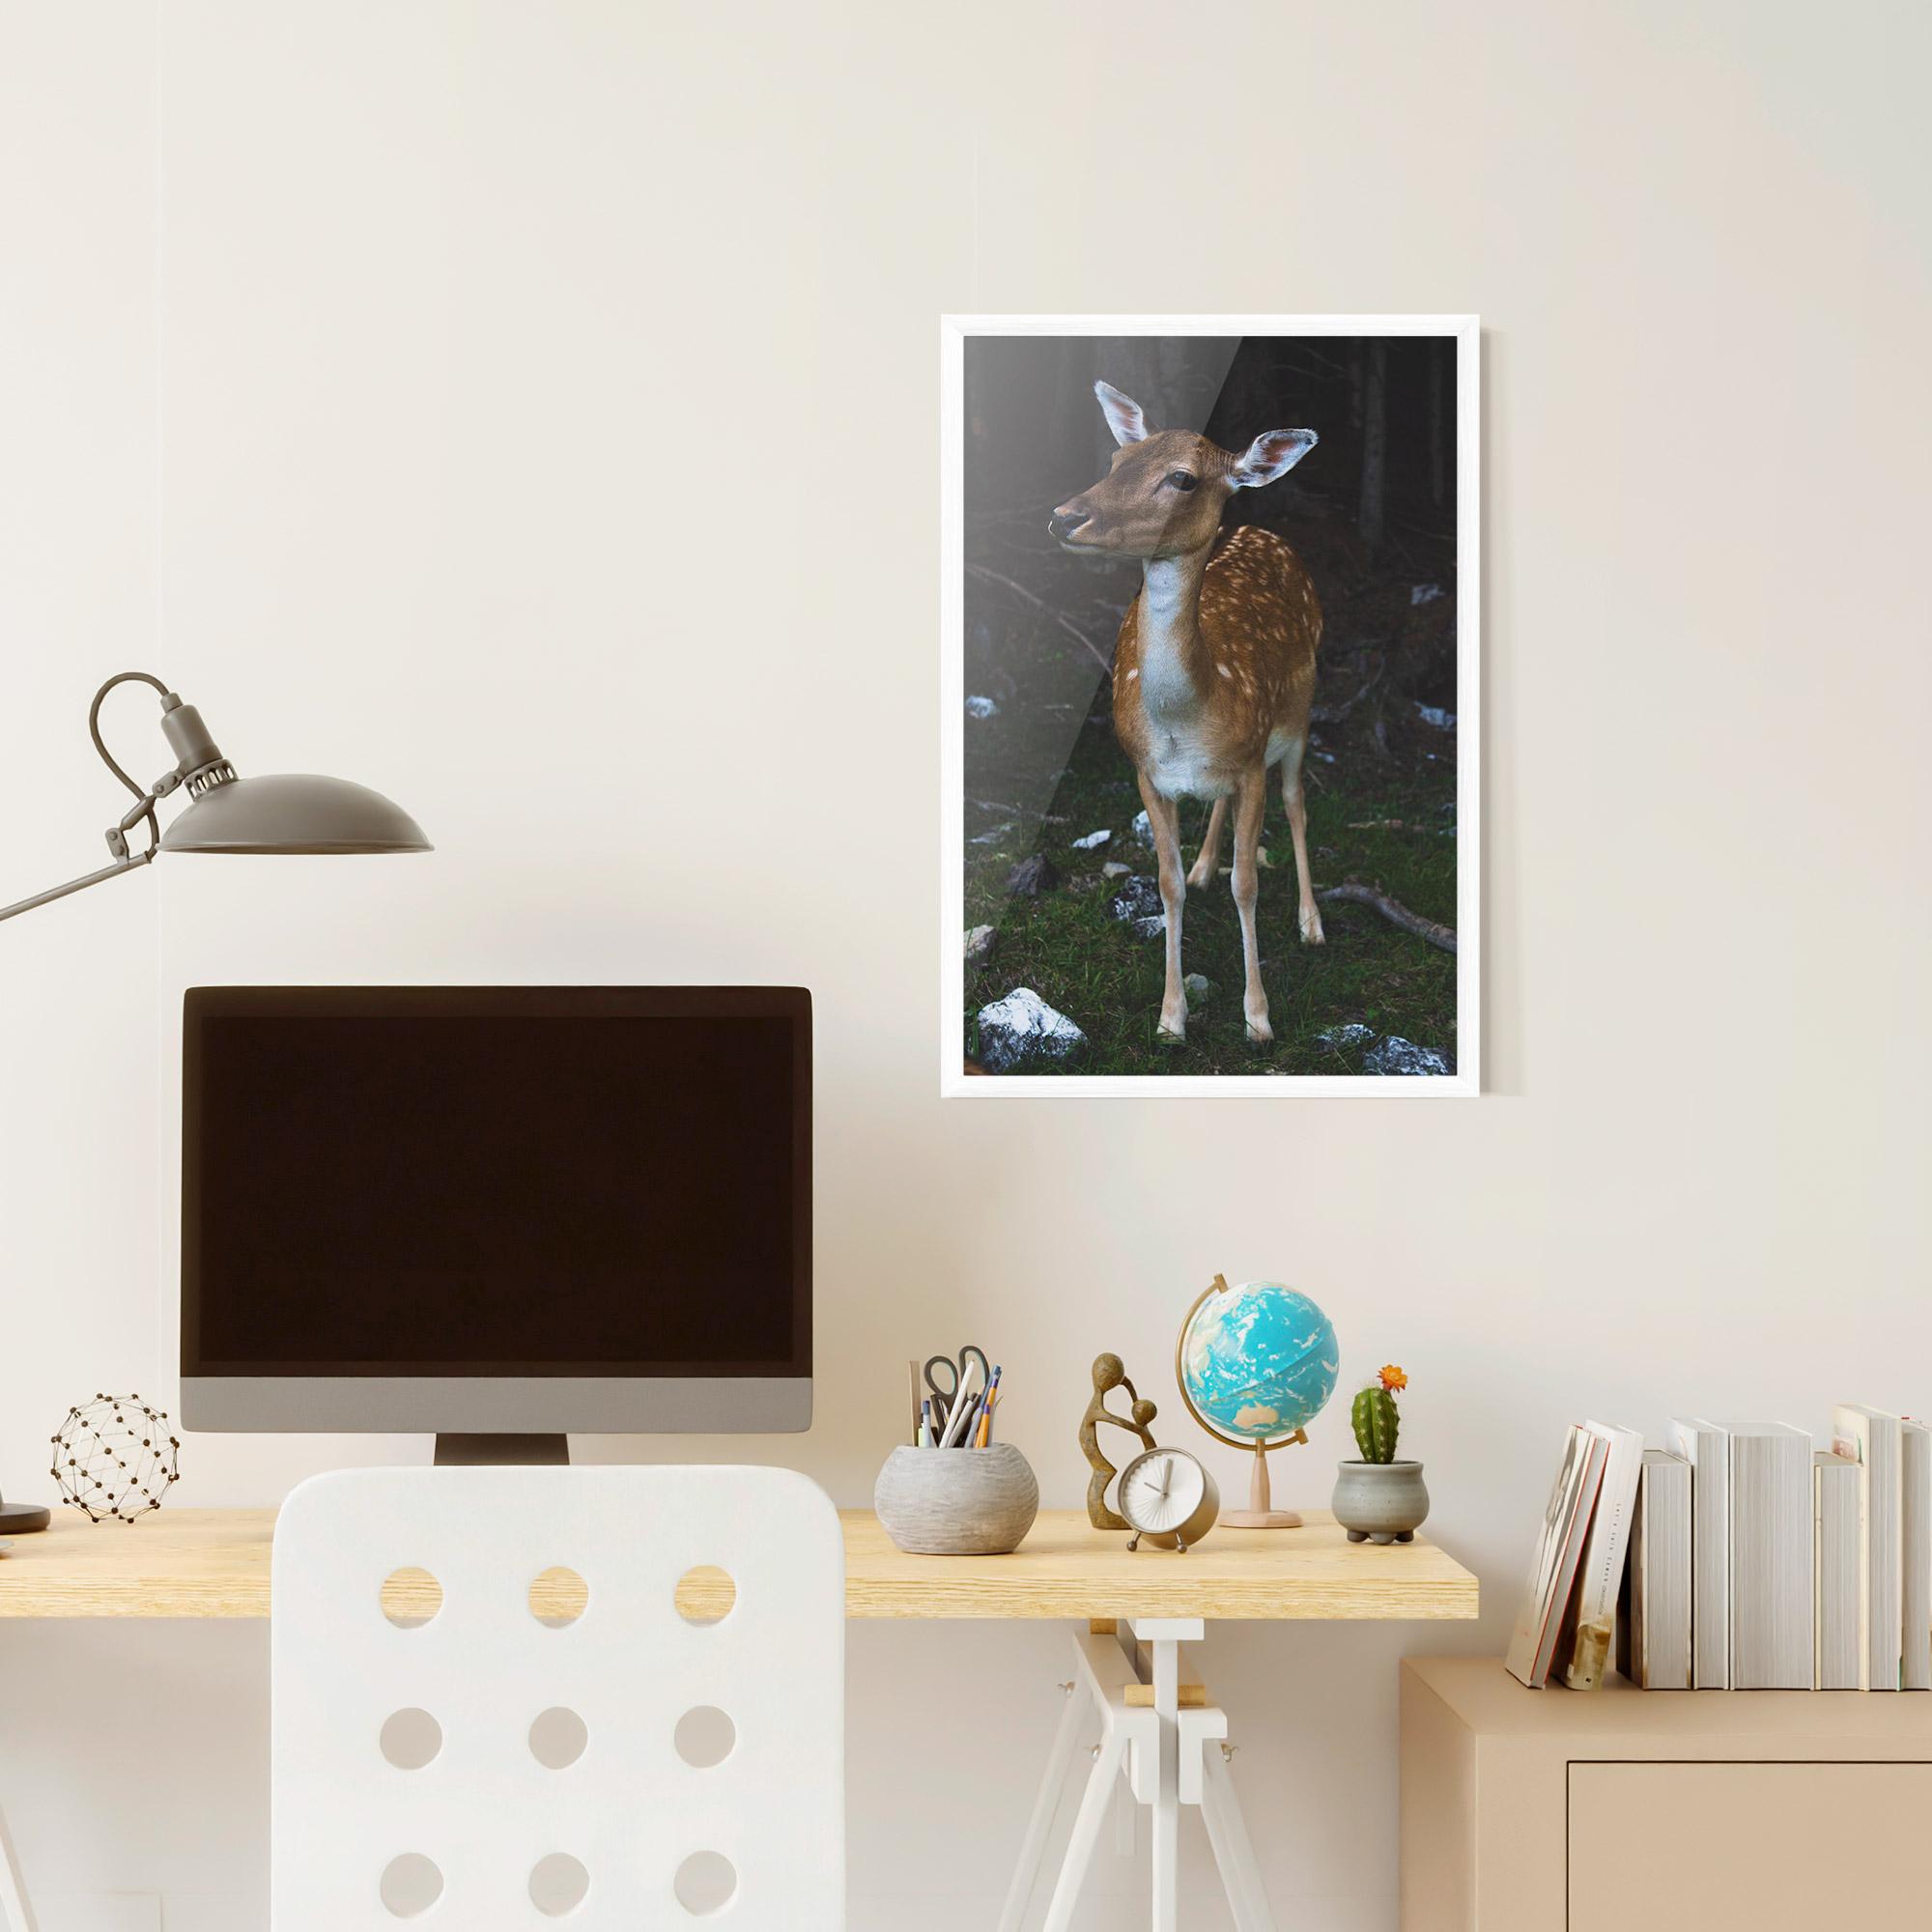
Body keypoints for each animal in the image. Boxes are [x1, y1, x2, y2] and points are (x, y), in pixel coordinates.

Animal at [1048, 380, 1325, 1046]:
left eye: (1182, 479)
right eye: (1117, 460)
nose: (1064, 516)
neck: (1188, 717)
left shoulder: (1252, 760)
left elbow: (1247, 883)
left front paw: (1258, 1017)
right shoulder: (1146, 771)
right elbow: (1166, 884)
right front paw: (1171, 1016)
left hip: (1300, 713)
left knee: (1296, 801)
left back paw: (1312, 923)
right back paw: (1204, 867)